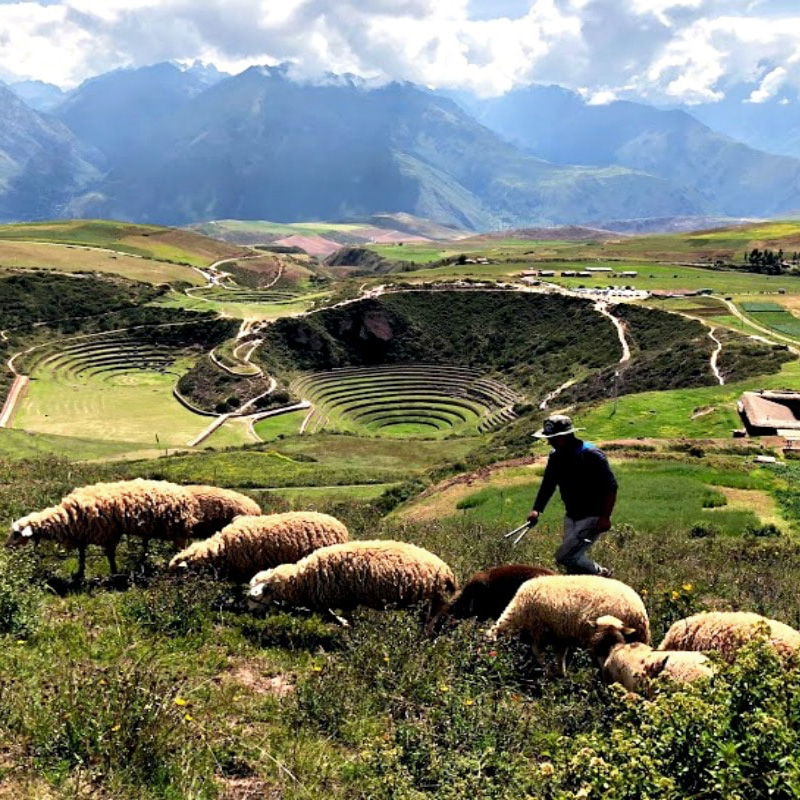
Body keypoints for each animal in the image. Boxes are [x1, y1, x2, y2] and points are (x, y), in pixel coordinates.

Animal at [247, 540, 456, 620]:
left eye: (255, 597)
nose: (250, 612)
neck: (301, 578)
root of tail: (447, 570)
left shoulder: (335, 597)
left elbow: (333, 614)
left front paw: (344, 624)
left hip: (428, 601)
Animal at [488, 576, 648, 676]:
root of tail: (639, 612)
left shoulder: (540, 629)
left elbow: (538, 651)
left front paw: (549, 670)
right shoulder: (560, 635)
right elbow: (559, 655)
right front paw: (561, 673)